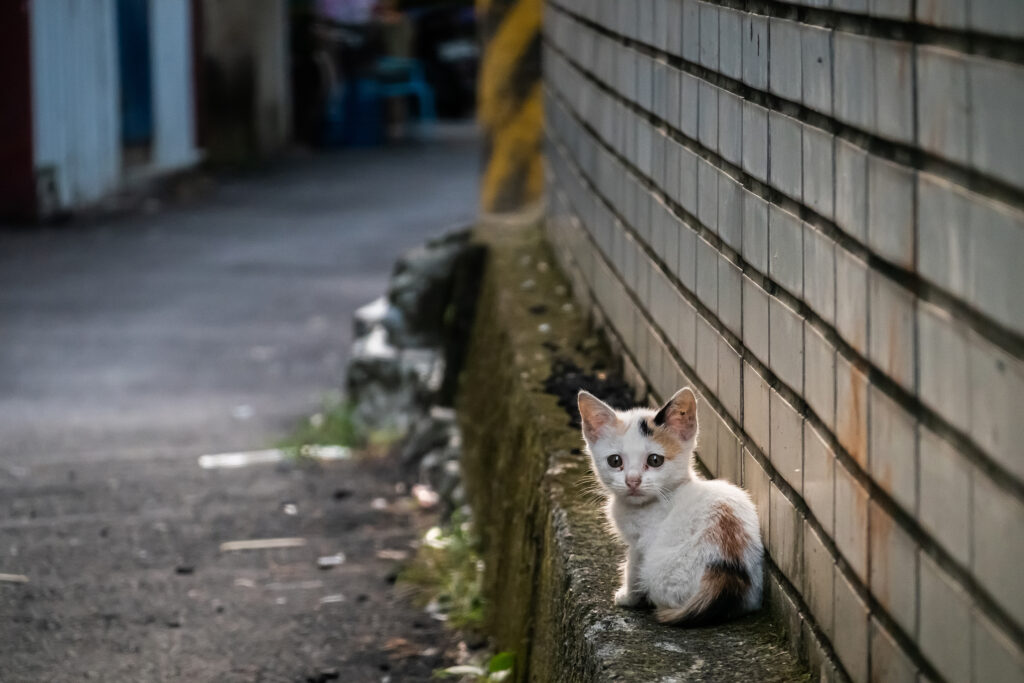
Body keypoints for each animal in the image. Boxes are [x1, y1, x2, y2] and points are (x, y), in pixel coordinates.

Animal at [577, 387, 761, 626]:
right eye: (614, 461)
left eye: (655, 460)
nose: (632, 481)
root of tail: (725, 573)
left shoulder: (640, 543)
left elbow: (632, 566)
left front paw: (627, 596)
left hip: (658, 570)